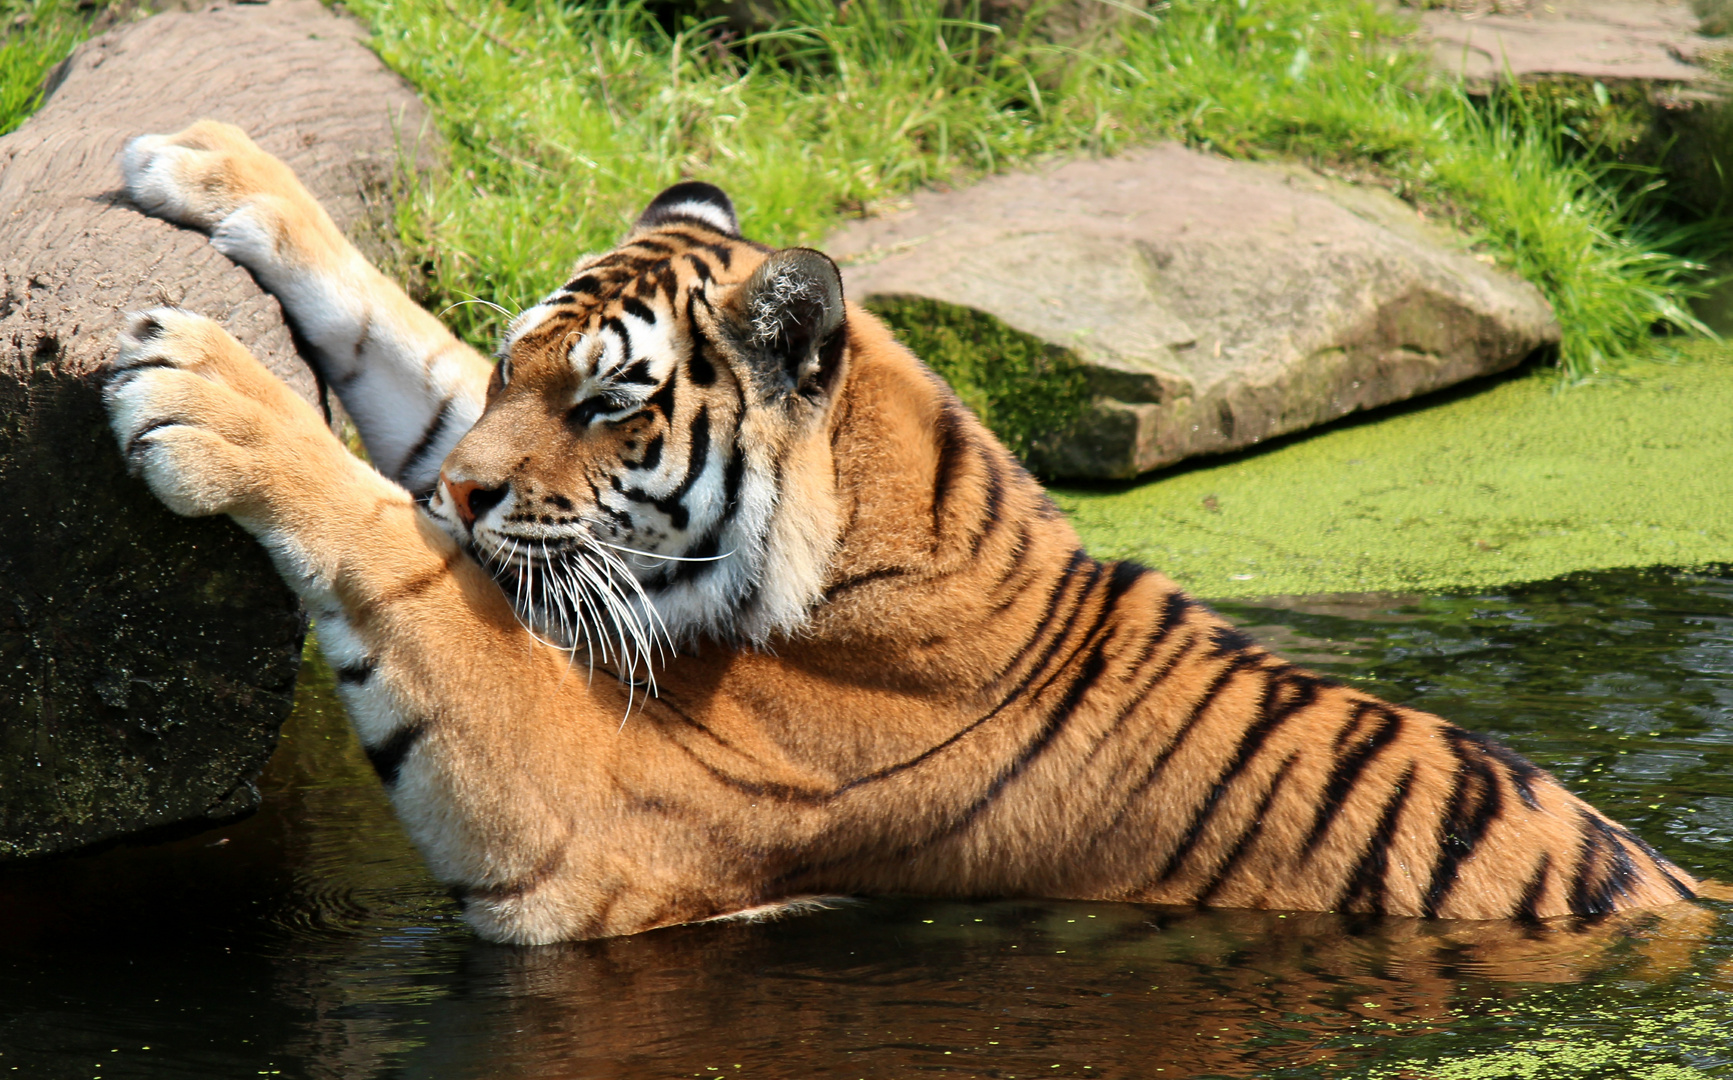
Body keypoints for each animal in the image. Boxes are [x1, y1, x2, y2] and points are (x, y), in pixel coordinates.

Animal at [104, 122, 1691, 943]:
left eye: (613, 403)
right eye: (512, 371)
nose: (470, 496)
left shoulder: (582, 815)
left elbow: (406, 570)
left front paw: (209, 392)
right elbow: (397, 358)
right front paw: (213, 163)